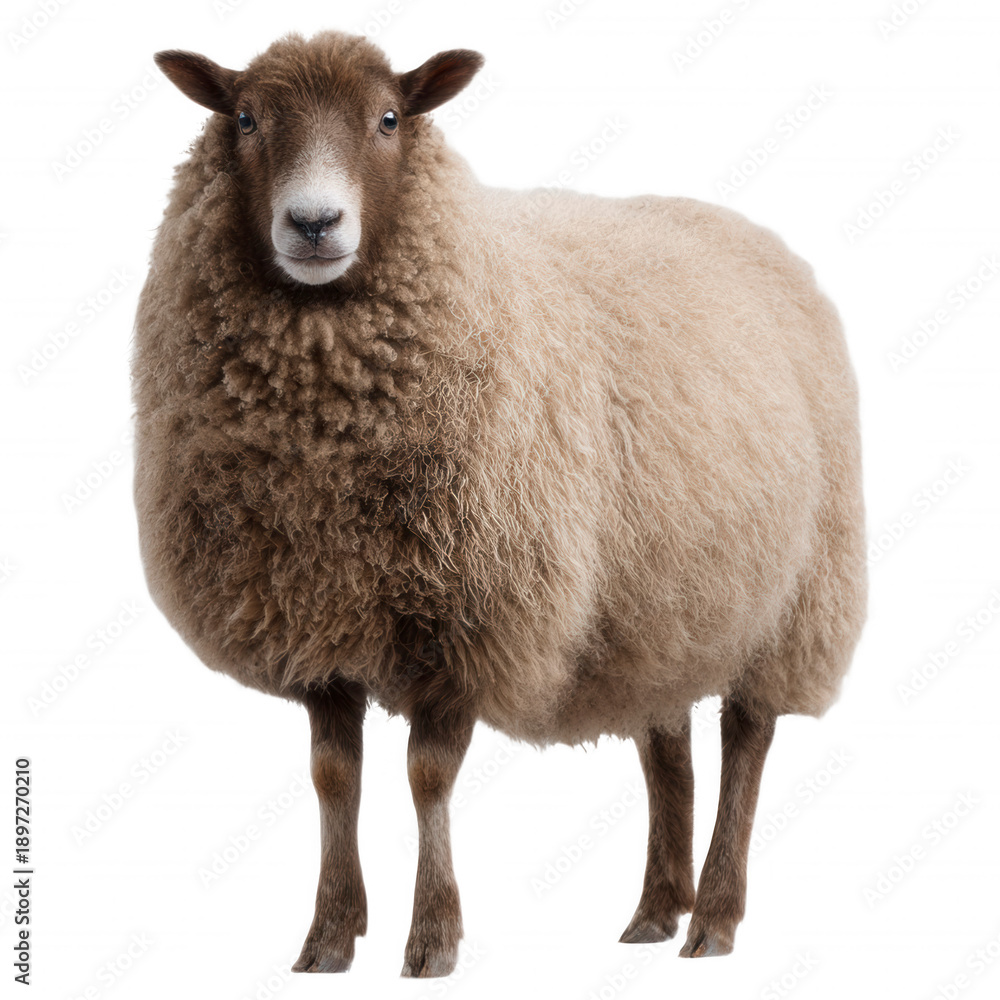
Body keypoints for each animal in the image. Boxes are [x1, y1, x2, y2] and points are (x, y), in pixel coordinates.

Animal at [132, 30, 867, 978]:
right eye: (246, 118)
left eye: (390, 118)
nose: (314, 224)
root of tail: (751, 232)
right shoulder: (318, 616)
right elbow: (334, 777)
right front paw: (329, 937)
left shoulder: (468, 614)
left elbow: (426, 777)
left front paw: (432, 939)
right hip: (657, 596)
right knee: (667, 745)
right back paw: (655, 910)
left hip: (796, 596)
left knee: (748, 739)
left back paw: (714, 919)